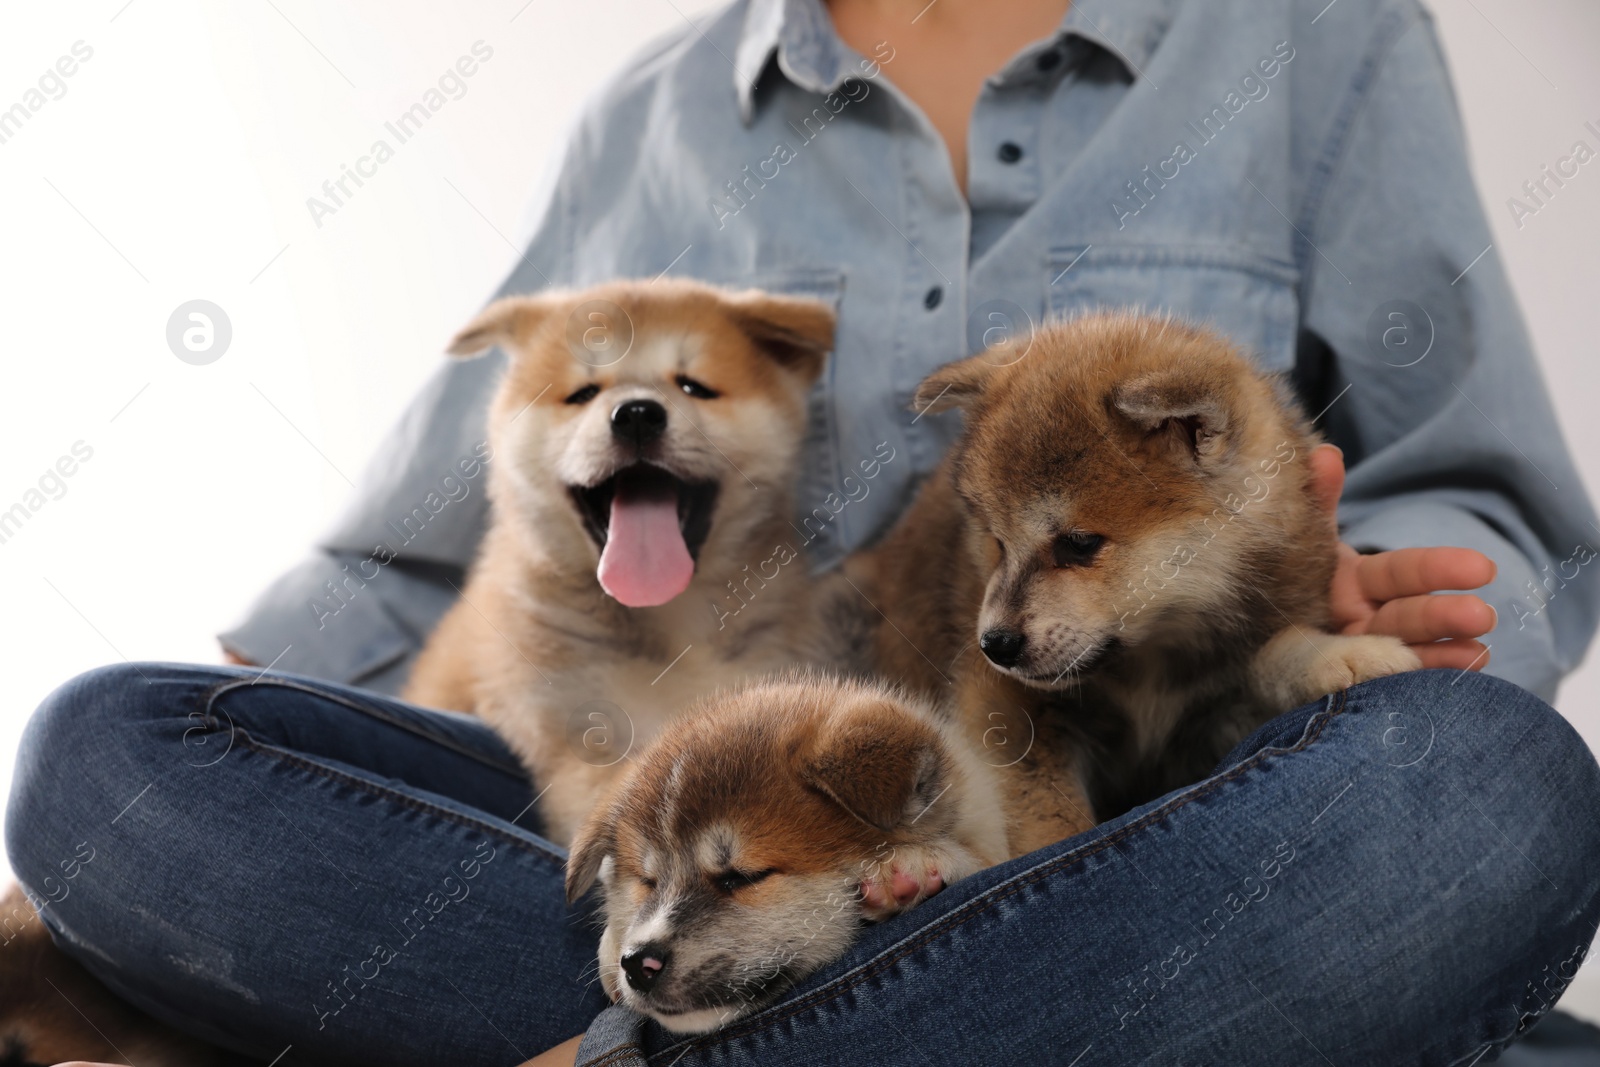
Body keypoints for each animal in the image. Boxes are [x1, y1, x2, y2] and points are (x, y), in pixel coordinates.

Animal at [864, 313, 1427, 857]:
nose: (994, 645)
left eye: (1079, 543)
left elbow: (1269, 656)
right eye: (997, 542)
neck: (1151, 664)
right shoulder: (1007, 709)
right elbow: (1050, 824)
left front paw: (1341, 653)